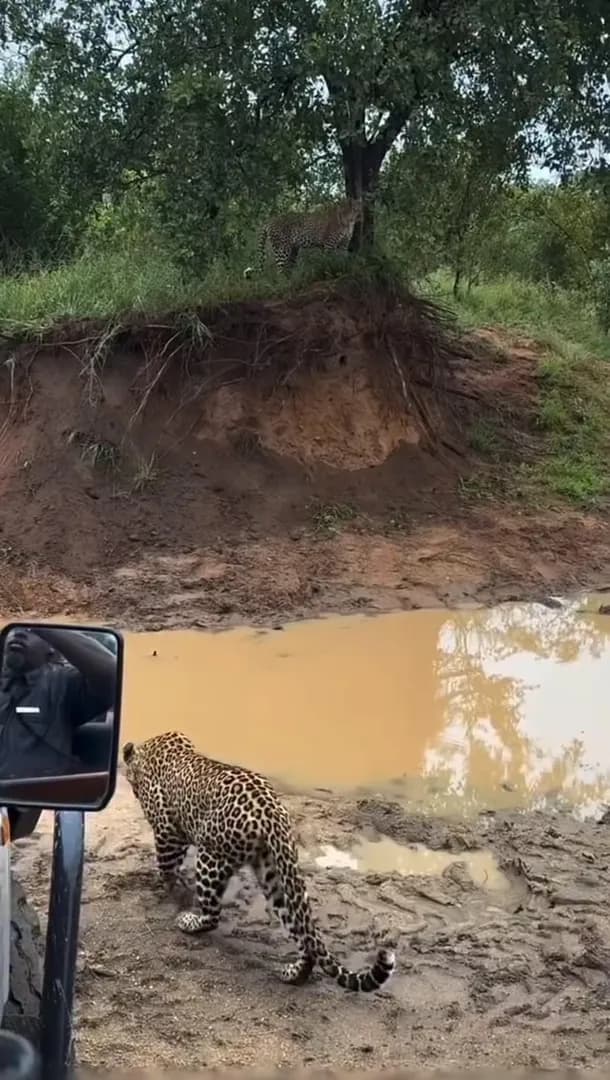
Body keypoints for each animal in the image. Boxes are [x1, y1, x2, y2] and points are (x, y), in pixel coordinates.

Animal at [123, 731, 395, 993]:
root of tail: (271, 811)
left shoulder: (168, 832)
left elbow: (166, 866)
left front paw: (170, 889)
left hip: (211, 858)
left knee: (213, 915)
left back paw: (189, 922)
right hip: (275, 872)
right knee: (306, 936)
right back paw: (294, 974)